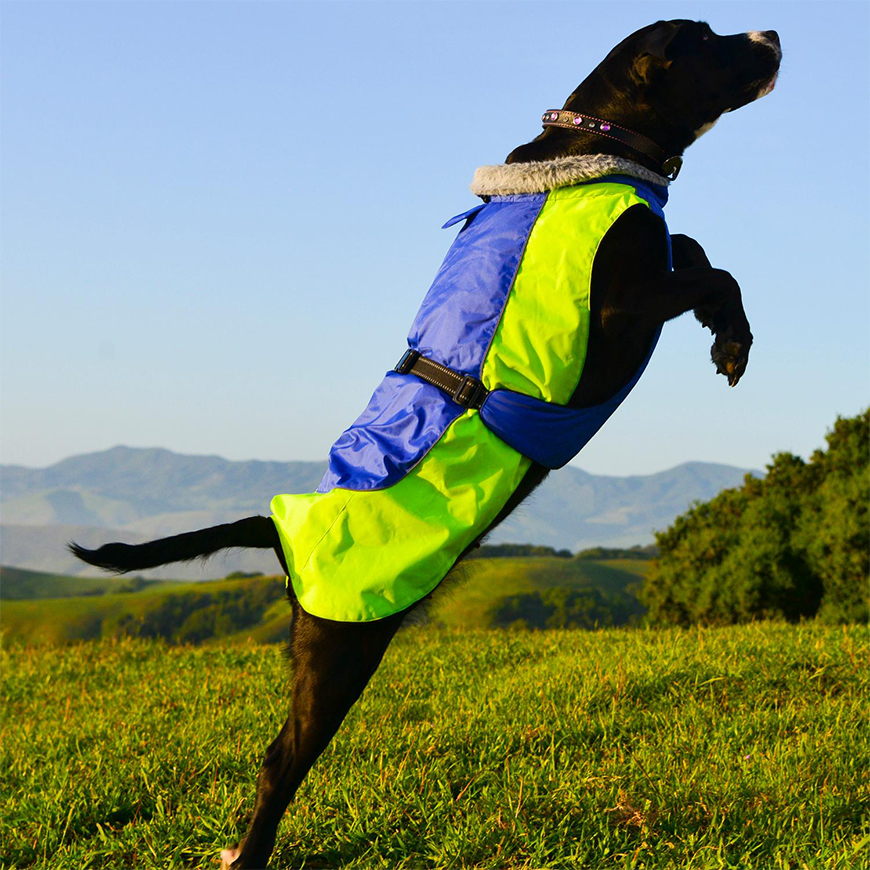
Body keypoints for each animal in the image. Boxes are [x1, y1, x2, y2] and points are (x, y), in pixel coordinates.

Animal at [73, 22, 784, 870]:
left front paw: (726, 336)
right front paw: (734, 339)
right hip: (339, 652)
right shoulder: (620, 308)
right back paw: (246, 854)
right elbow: (713, 269)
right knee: (278, 762)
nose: (773, 33)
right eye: (707, 38)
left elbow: (695, 247)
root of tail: (278, 525)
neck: (598, 146)